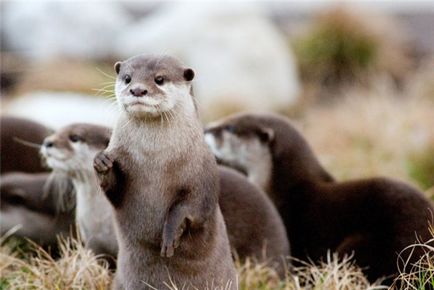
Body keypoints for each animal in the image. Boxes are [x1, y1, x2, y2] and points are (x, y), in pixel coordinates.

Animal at [94, 55, 236, 290]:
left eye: (159, 79)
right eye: (127, 78)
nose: (138, 90)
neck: (154, 158)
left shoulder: (203, 172)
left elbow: (195, 205)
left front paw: (170, 235)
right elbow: (115, 190)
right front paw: (101, 161)